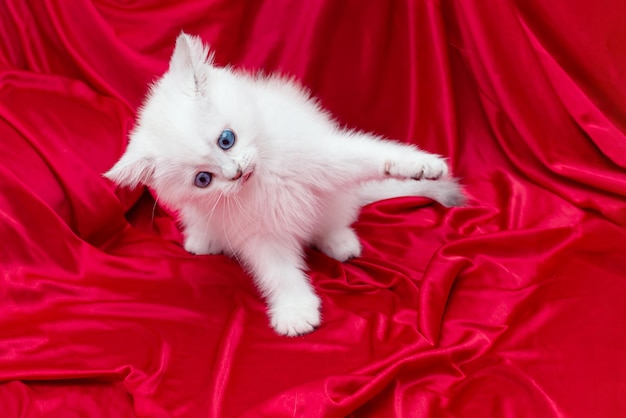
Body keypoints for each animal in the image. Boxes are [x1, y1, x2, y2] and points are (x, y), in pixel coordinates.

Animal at [105, 32, 464, 336]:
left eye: (226, 139)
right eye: (203, 179)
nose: (236, 173)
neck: (262, 178)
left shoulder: (324, 155)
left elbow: (371, 157)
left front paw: (421, 165)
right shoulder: (258, 231)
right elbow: (277, 271)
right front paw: (295, 311)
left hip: (335, 201)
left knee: (333, 217)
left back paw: (339, 241)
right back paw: (204, 240)